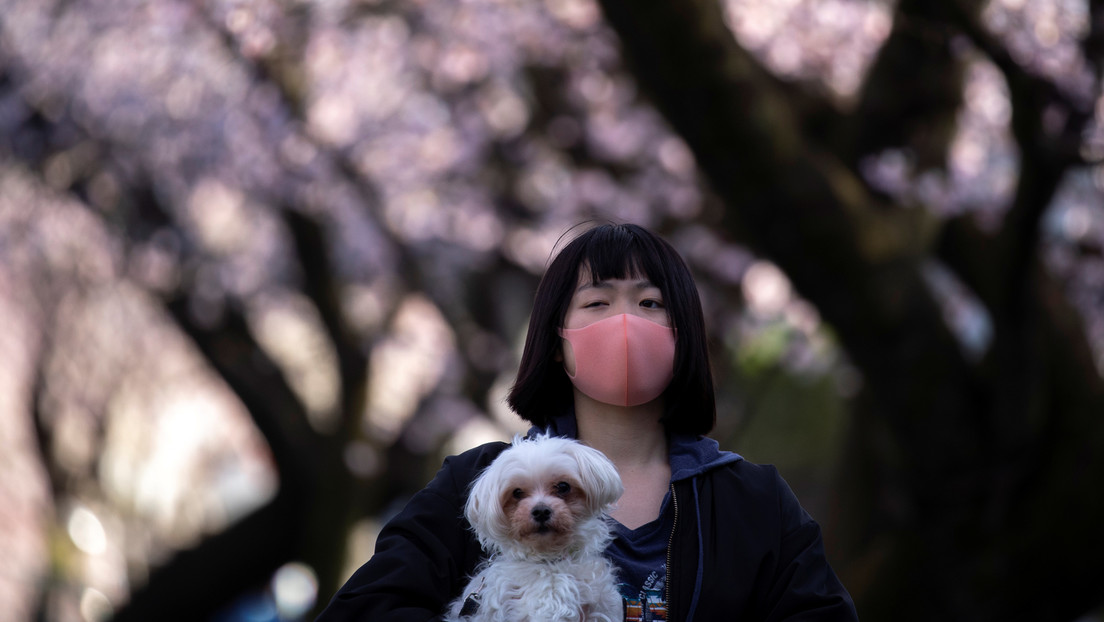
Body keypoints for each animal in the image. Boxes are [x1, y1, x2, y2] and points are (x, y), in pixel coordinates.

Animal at [443, 435, 627, 618]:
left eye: (563, 486)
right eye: (517, 492)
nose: (541, 511)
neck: (550, 562)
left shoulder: (603, 606)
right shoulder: (546, 608)